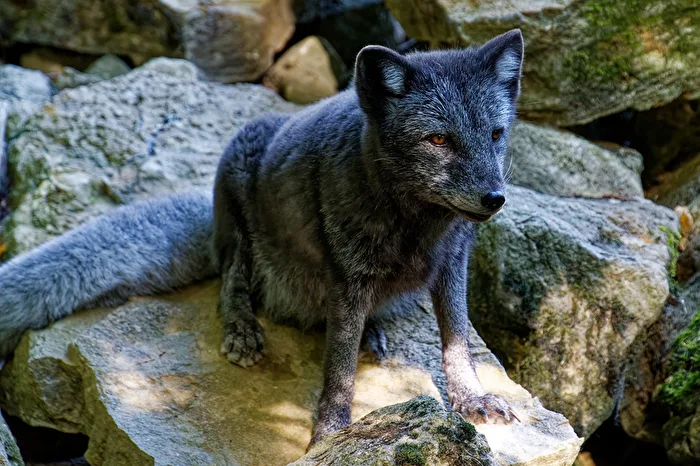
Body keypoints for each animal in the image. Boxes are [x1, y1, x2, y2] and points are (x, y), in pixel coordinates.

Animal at [0, 29, 524, 445]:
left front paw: (472, 399)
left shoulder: (453, 263)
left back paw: (371, 331)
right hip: (236, 194)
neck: (418, 228)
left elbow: (456, 340)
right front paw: (331, 432)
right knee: (231, 278)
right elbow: (338, 371)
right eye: (438, 140)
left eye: (496, 134)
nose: (494, 198)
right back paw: (242, 328)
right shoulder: (348, 276)